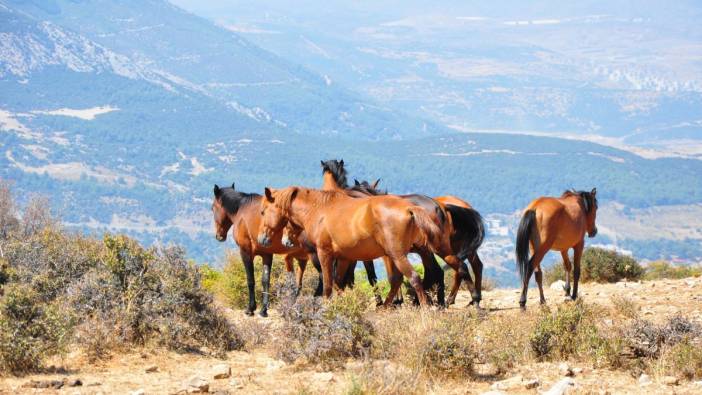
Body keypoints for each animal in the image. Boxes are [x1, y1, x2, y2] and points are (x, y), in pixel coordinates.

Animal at [210, 184, 312, 318]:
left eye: (213, 208)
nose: (219, 236)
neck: (242, 211)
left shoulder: (246, 252)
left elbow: (251, 280)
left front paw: (250, 308)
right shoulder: (267, 254)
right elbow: (265, 280)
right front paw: (263, 310)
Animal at [258, 186, 446, 306]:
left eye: (263, 211)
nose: (262, 239)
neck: (319, 210)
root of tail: (409, 208)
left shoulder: (324, 254)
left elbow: (328, 284)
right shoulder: (344, 258)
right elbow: (338, 282)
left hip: (397, 255)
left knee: (414, 278)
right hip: (397, 255)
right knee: (398, 280)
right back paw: (386, 307)